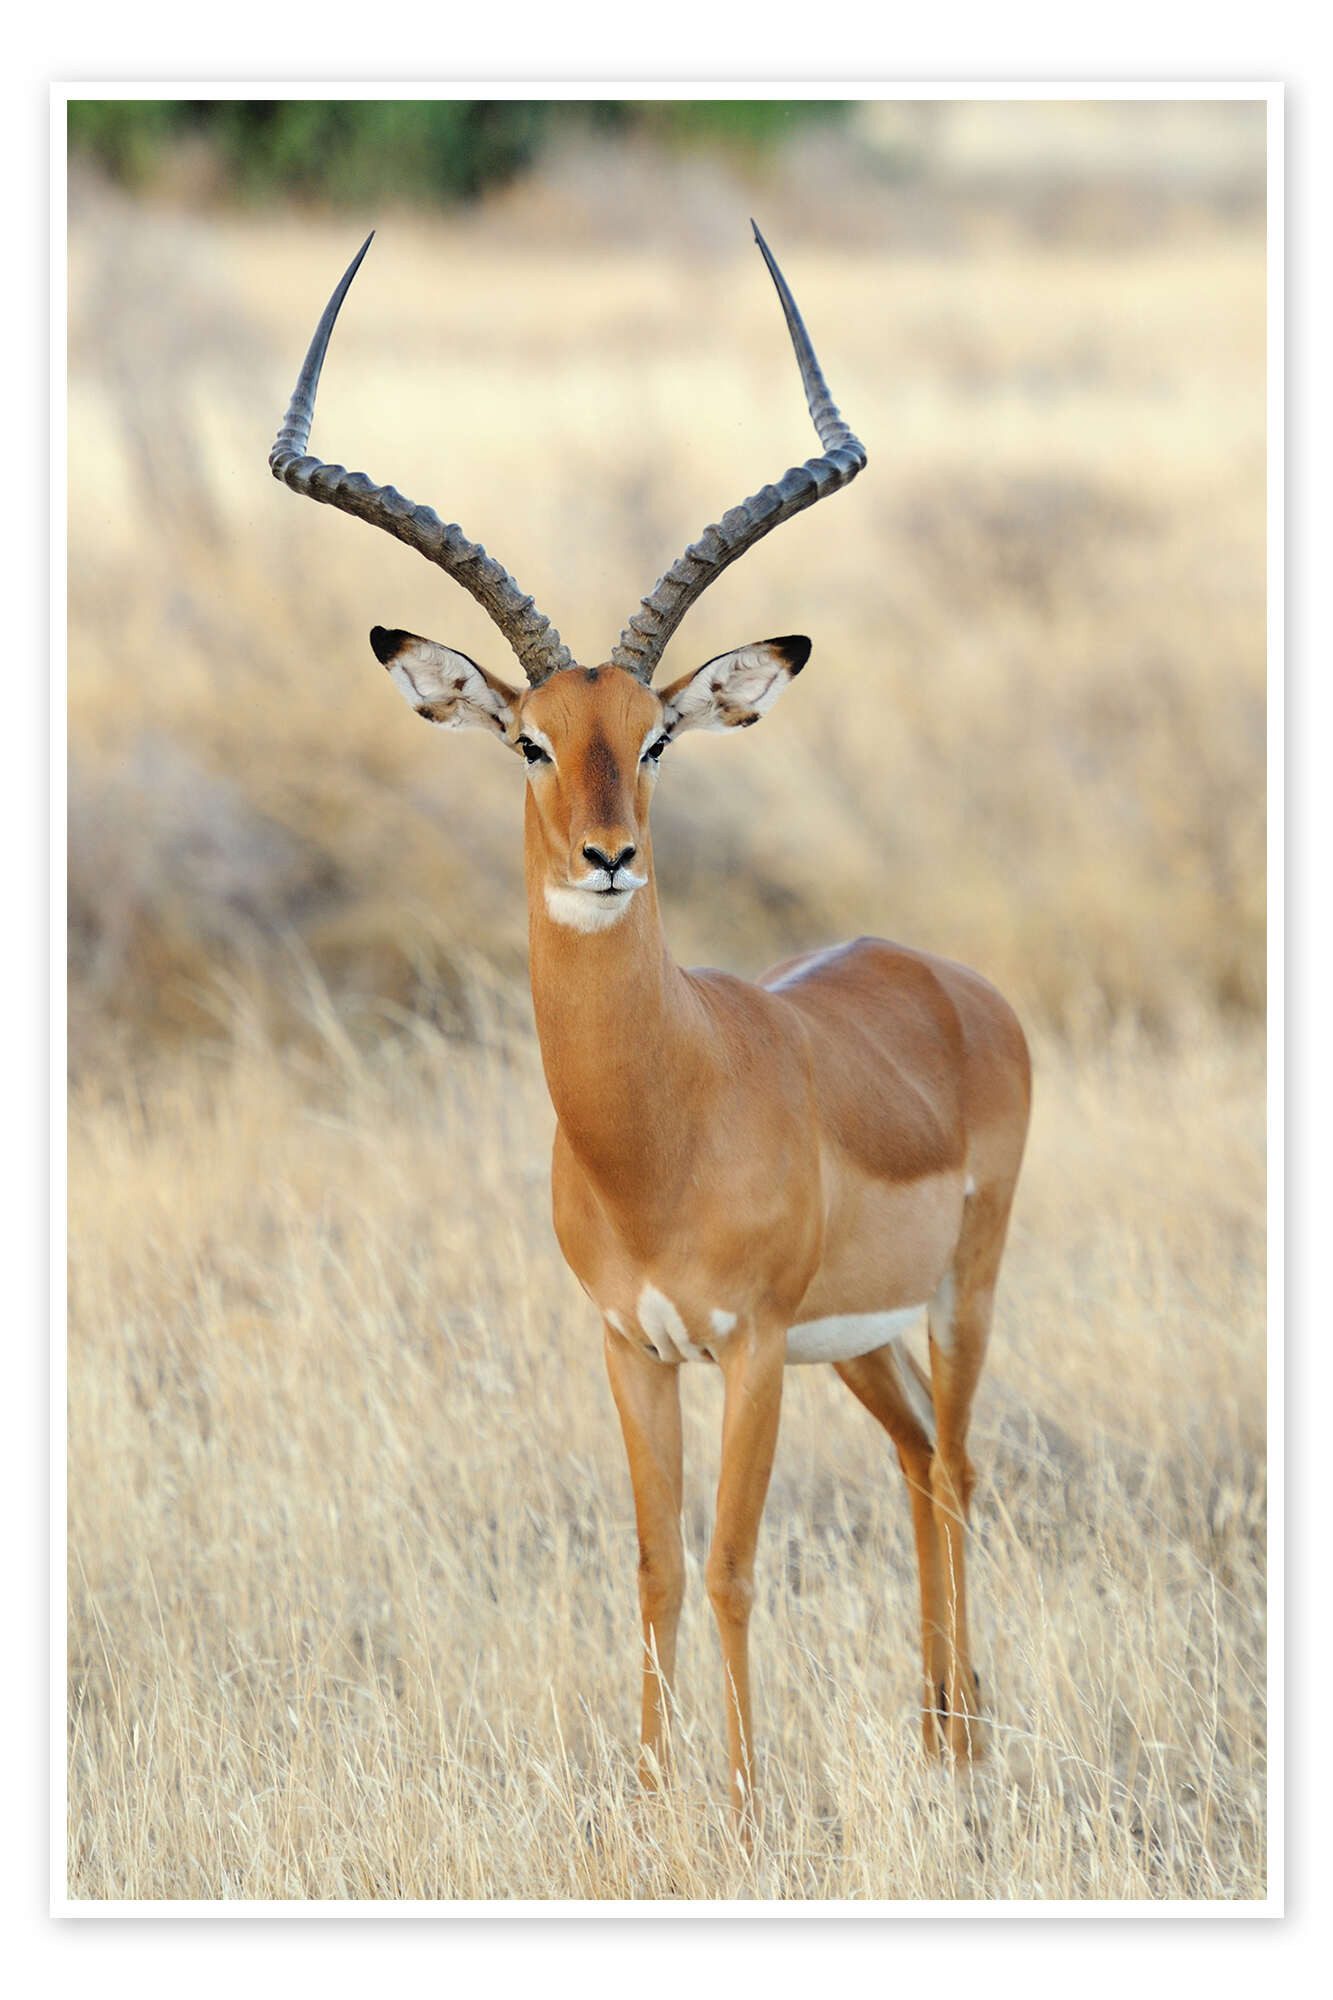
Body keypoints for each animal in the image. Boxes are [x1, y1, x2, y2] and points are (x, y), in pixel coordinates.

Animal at [270, 225, 1031, 1821]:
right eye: (530, 739)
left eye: (660, 736)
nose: (609, 856)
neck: (658, 1125)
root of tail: (951, 980)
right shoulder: (631, 1347)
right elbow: (651, 1568)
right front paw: (647, 1792)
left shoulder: (743, 1348)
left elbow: (732, 1568)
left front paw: (739, 1809)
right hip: (856, 1343)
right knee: (915, 1463)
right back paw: (941, 1727)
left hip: (958, 1294)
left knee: (956, 1469)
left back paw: (968, 1746)